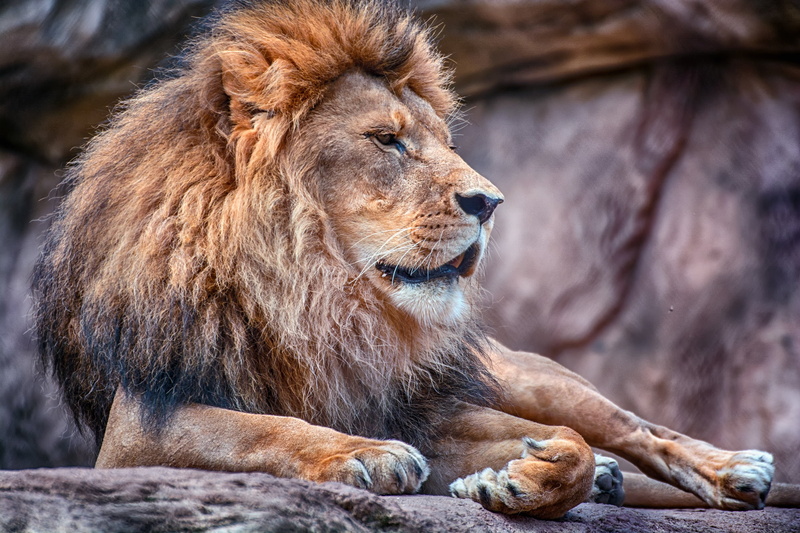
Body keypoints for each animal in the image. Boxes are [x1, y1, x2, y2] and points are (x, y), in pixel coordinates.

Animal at [34, 0, 797, 519]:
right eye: (388, 140)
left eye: (441, 141)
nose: (490, 201)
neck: (313, 300)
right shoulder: (137, 427)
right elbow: (256, 427)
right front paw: (364, 455)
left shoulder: (425, 408)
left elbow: (570, 444)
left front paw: (526, 478)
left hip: (527, 375)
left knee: (633, 427)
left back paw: (736, 468)